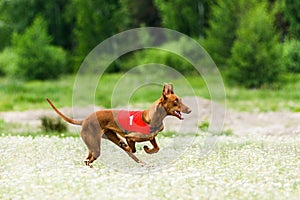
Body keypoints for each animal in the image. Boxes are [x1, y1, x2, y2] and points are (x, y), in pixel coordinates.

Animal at [47, 82, 192, 166]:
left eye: (180, 100)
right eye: (175, 101)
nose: (189, 110)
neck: (152, 117)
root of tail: (85, 120)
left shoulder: (152, 137)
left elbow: (156, 147)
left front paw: (148, 150)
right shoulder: (130, 137)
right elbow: (132, 148)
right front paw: (136, 148)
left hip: (105, 138)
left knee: (88, 158)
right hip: (95, 143)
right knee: (90, 159)